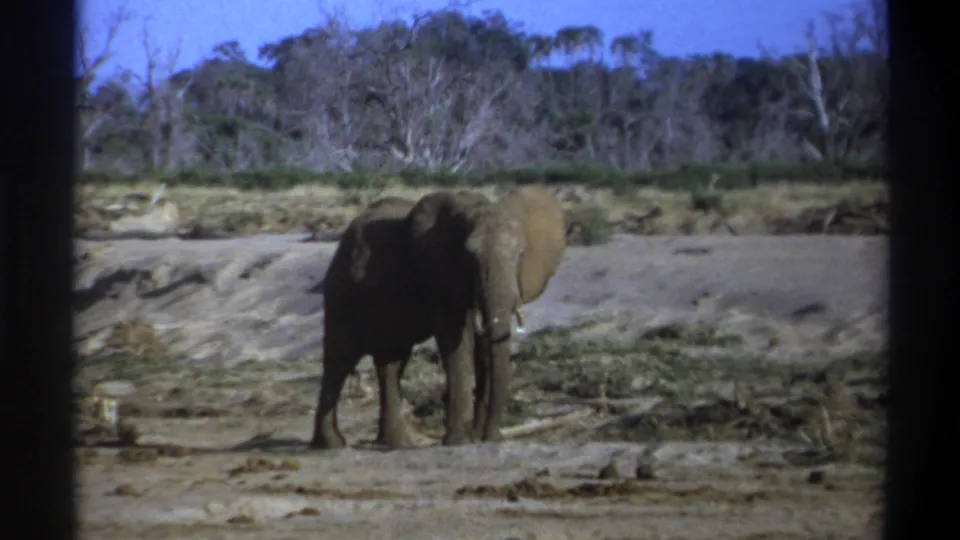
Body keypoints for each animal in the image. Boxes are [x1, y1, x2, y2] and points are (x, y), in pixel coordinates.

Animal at [405, 186, 566, 445]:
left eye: (521, 253)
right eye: (470, 255)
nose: (493, 437)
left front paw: (478, 437)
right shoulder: (441, 276)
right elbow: (455, 344)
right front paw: (456, 441)